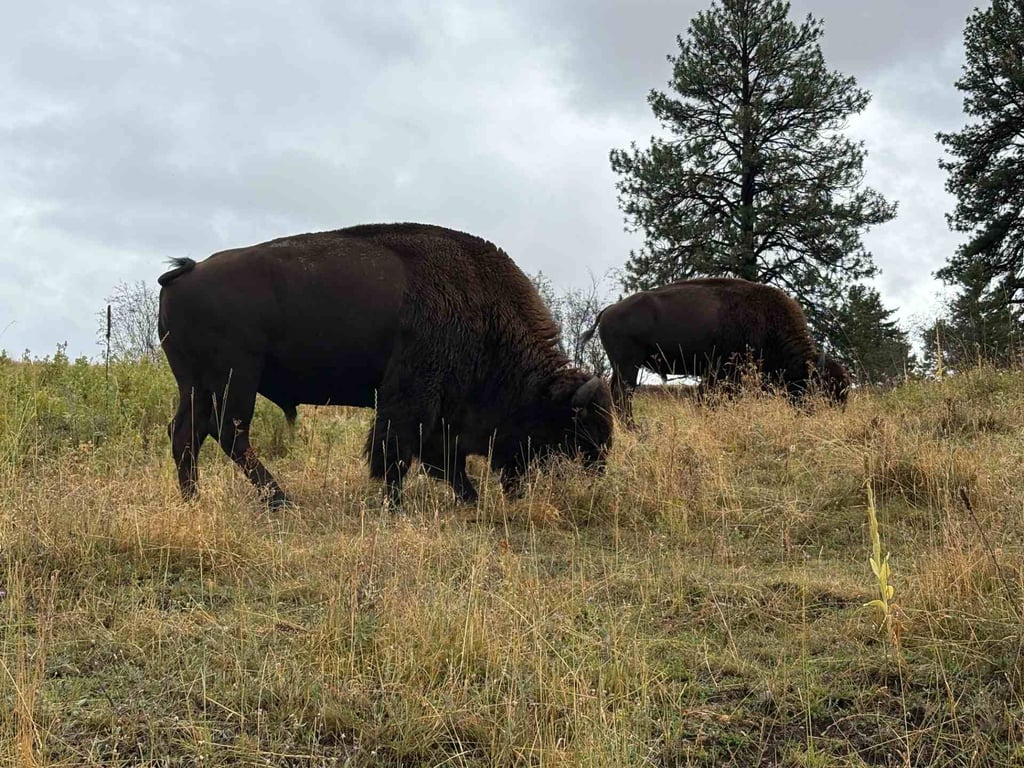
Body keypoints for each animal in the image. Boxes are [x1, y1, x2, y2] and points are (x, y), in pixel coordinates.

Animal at [158, 223, 613, 508]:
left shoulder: (436, 409)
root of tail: (187, 273)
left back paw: (194, 500)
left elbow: (438, 456)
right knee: (228, 433)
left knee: (187, 434)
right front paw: (394, 502)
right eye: (574, 430)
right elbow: (397, 451)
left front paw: (467, 497)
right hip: (236, 379)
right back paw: (280, 500)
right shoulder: (412, 396)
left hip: (197, 384)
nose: (597, 476)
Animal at [581, 278, 851, 419]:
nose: (834, 416)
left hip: (623, 366)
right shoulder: (722, 373)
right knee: (623, 394)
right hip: (629, 365)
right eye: (824, 389)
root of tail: (608, 310)